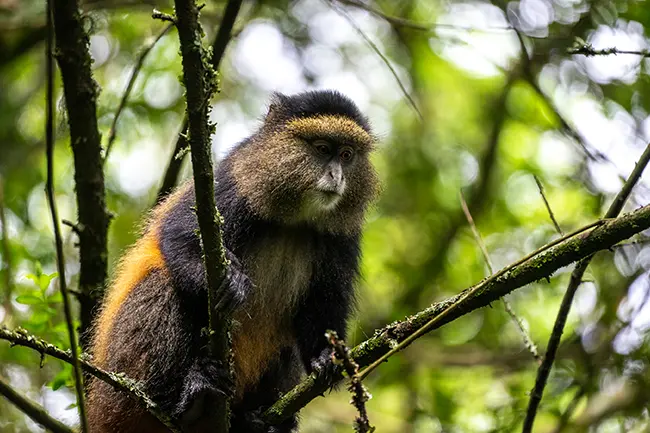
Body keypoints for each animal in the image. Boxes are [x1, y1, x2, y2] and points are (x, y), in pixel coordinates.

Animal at [88, 89, 378, 430]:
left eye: (347, 155)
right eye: (322, 149)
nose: (336, 176)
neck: (294, 220)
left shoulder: (343, 236)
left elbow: (324, 300)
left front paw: (325, 357)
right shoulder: (234, 184)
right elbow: (177, 235)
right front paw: (229, 282)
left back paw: (258, 421)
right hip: (121, 391)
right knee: (161, 284)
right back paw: (190, 401)